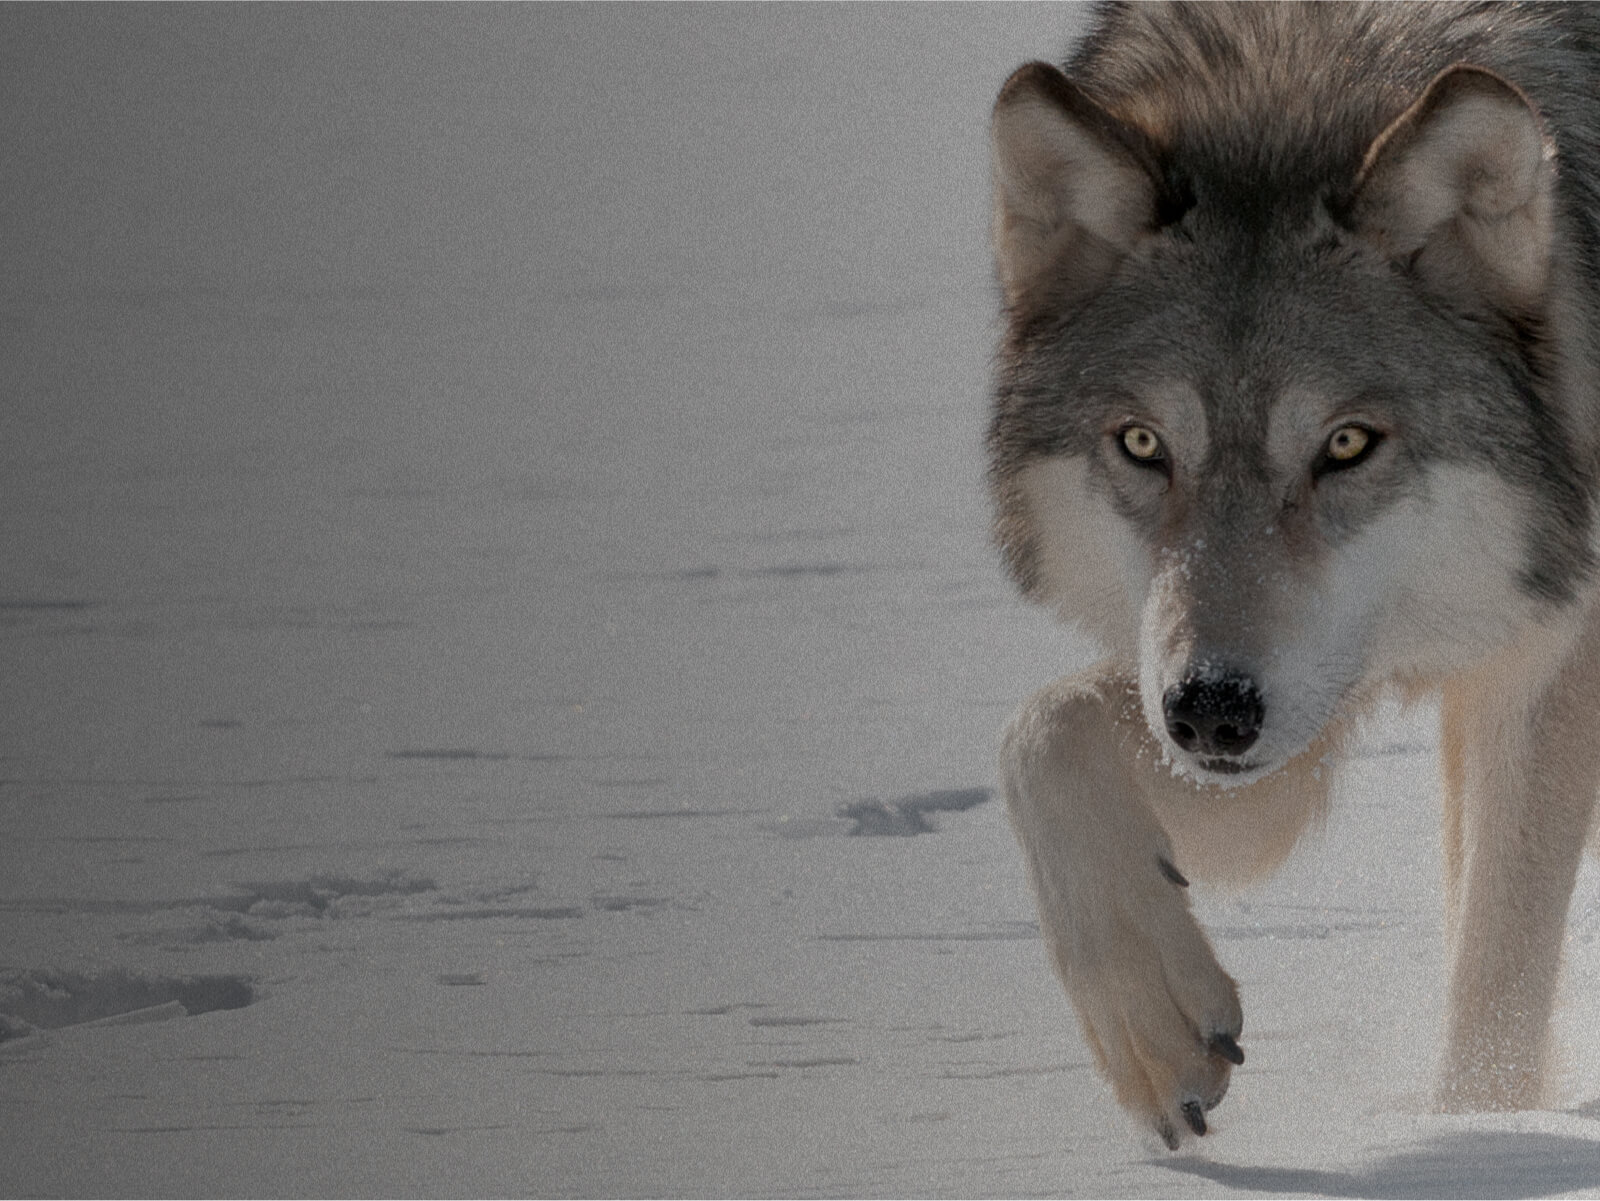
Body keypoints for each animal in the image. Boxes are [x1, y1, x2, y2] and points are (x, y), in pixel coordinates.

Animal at [985, 0, 1600, 1145]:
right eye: (1142, 445)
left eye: (1346, 444)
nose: (1212, 712)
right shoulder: (1292, 708)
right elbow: (1043, 731)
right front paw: (1155, 1031)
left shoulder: (1548, 652)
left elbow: (1495, 974)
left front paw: (1473, 1136)